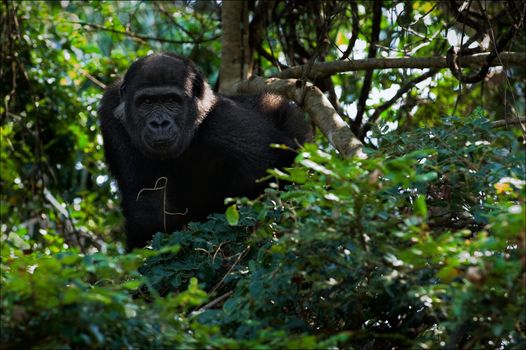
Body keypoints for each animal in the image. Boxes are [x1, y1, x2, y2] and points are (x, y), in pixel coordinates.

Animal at [98, 52, 312, 249]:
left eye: (171, 101)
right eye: (147, 102)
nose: (159, 123)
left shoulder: (226, 122)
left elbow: (283, 164)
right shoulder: (111, 108)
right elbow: (146, 201)